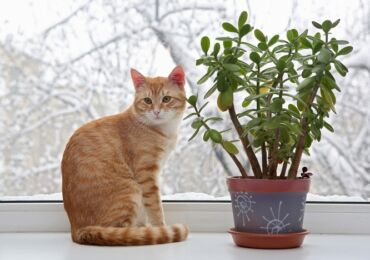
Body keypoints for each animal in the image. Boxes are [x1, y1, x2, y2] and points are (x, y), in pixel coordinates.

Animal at [61, 66, 188, 245]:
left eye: (166, 99)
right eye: (147, 101)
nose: (156, 112)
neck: (162, 130)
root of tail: (76, 231)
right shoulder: (147, 175)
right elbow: (155, 206)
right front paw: (161, 227)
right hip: (131, 190)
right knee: (122, 232)